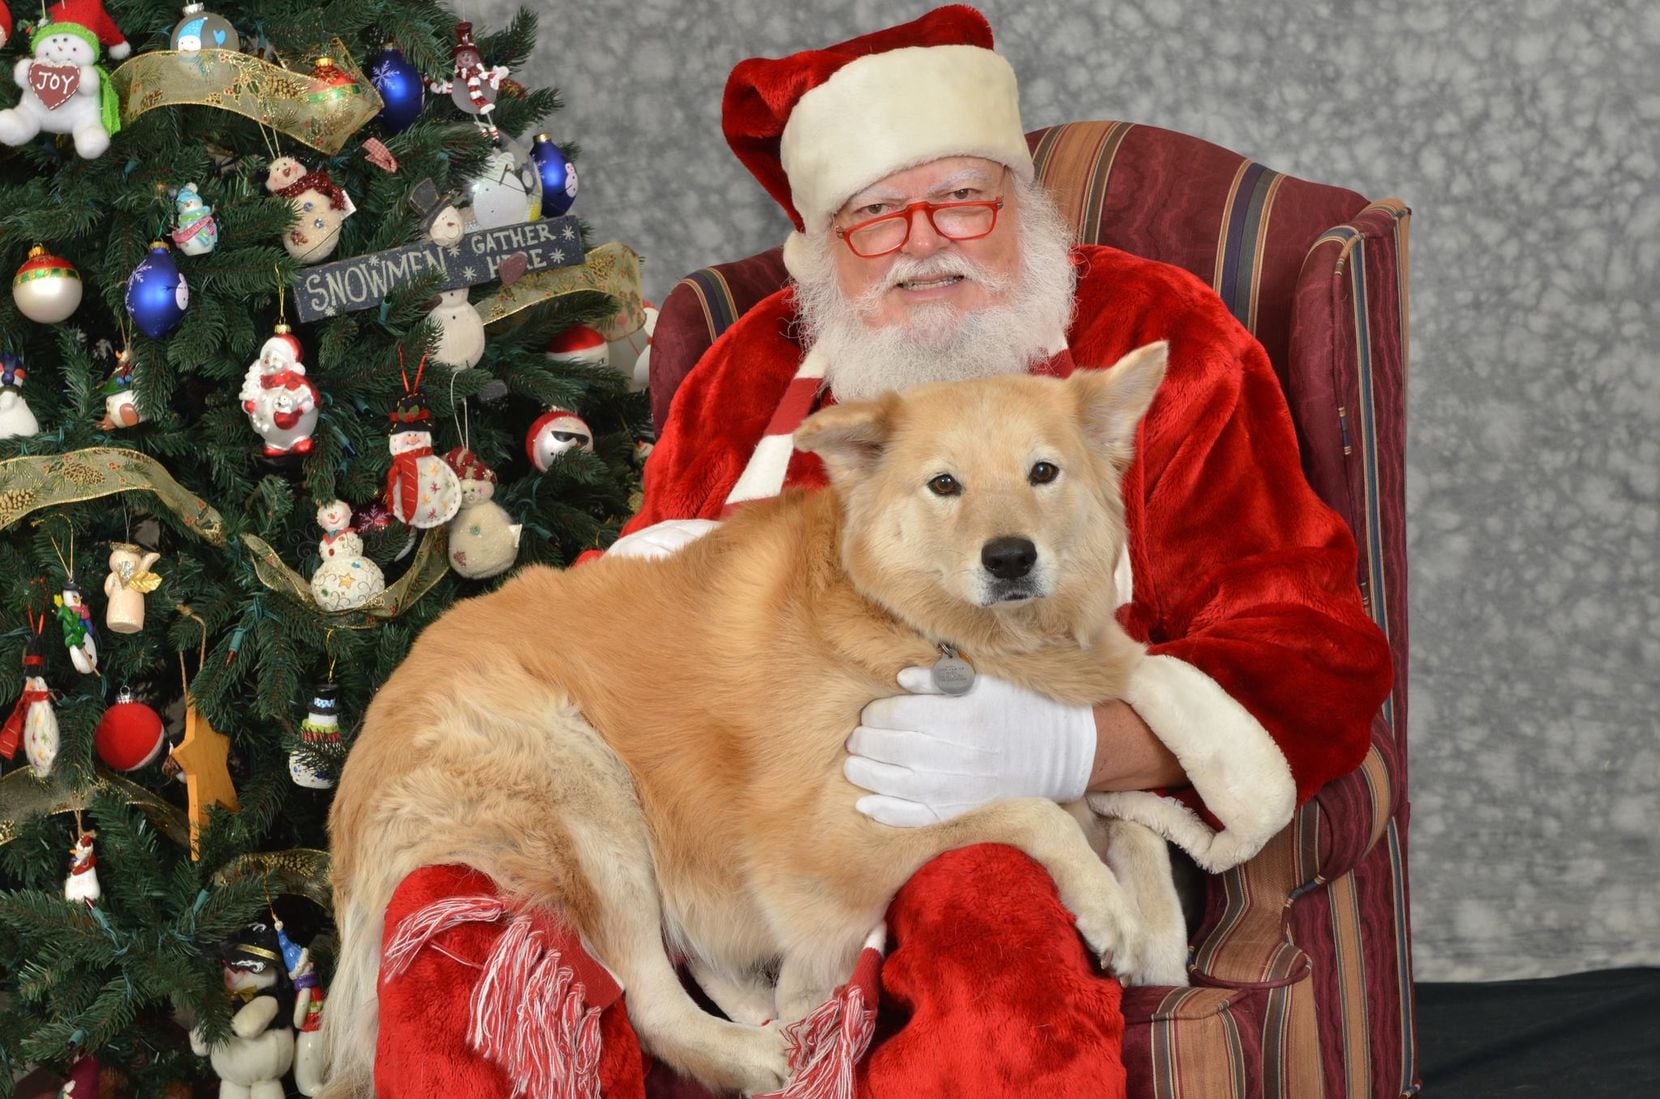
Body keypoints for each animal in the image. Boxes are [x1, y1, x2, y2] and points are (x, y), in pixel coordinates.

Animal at [323, 341, 1181, 1095]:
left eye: (1044, 472)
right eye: (945, 484)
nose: (1009, 558)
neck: (919, 626)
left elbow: (1113, 816)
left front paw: (1151, 922)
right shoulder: (823, 840)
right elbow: (1034, 809)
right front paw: (1107, 908)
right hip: (588, 791)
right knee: (648, 996)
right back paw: (761, 1053)